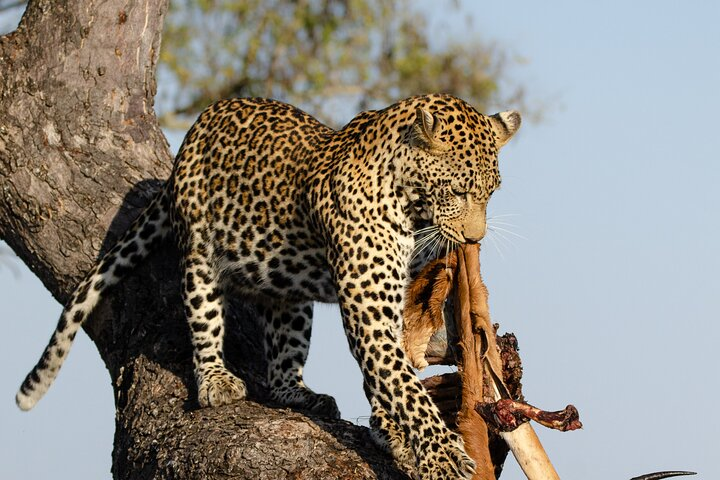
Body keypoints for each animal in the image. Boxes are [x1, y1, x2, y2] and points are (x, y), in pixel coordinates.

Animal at [16, 93, 520, 479]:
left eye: (492, 193)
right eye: (458, 191)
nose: (474, 239)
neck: (411, 207)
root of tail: (197, 129)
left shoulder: (389, 297)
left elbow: (387, 375)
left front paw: (388, 429)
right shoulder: (367, 305)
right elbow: (403, 383)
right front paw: (442, 455)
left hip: (288, 298)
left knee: (283, 357)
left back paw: (299, 392)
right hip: (199, 255)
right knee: (203, 318)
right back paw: (216, 381)